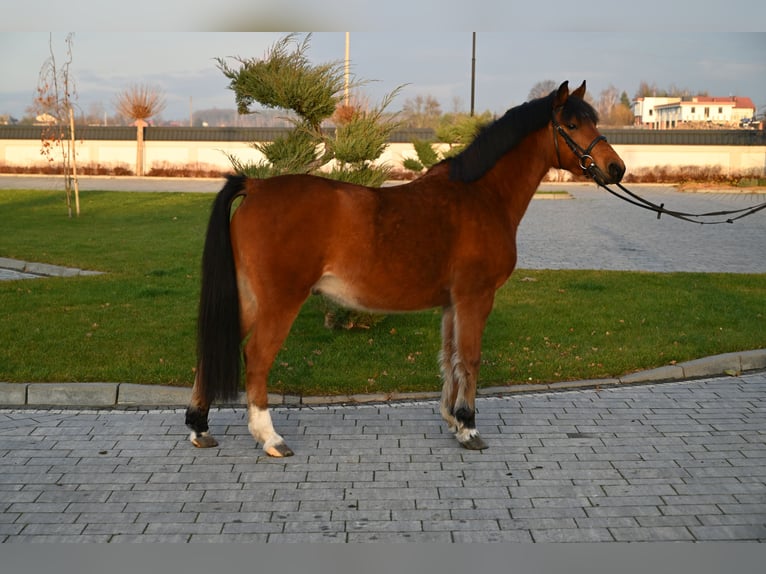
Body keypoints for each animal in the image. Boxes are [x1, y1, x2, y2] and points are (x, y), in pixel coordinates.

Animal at [188, 81, 632, 460]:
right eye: (571, 125)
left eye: (594, 121)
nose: (616, 168)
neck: (482, 195)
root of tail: (257, 186)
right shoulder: (476, 297)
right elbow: (471, 358)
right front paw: (469, 428)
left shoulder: (452, 303)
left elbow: (450, 357)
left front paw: (453, 419)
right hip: (280, 302)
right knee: (257, 356)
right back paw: (270, 438)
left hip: (248, 298)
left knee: (215, 346)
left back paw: (199, 427)